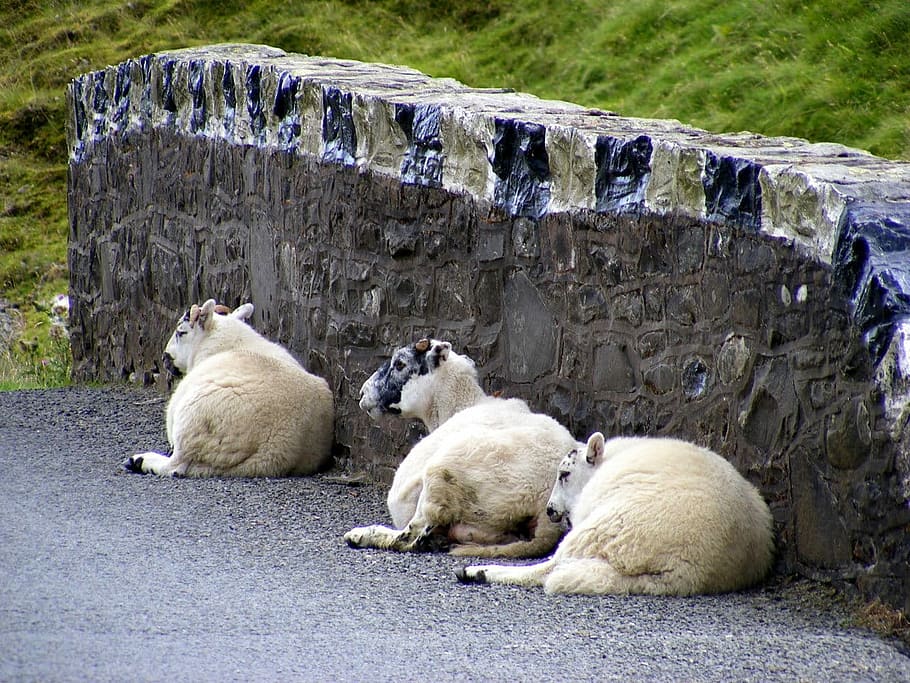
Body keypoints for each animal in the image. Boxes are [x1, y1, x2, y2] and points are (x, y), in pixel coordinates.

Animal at [123, 298, 334, 477]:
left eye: (181, 332)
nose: (165, 357)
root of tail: (275, 451)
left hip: (192, 420)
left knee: (175, 466)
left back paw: (139, 461)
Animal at [344, 338, 578, 558]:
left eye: (400, 364)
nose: (362, 393)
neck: (462, 404)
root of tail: (545, 508)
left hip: (441, 475)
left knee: (411, 537)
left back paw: (362, 535)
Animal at [456, 431, 775, 595]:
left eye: (564, 474)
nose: (549, 510)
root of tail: (687, 570)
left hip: (606, 526)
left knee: (548, 569)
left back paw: (476, 572)